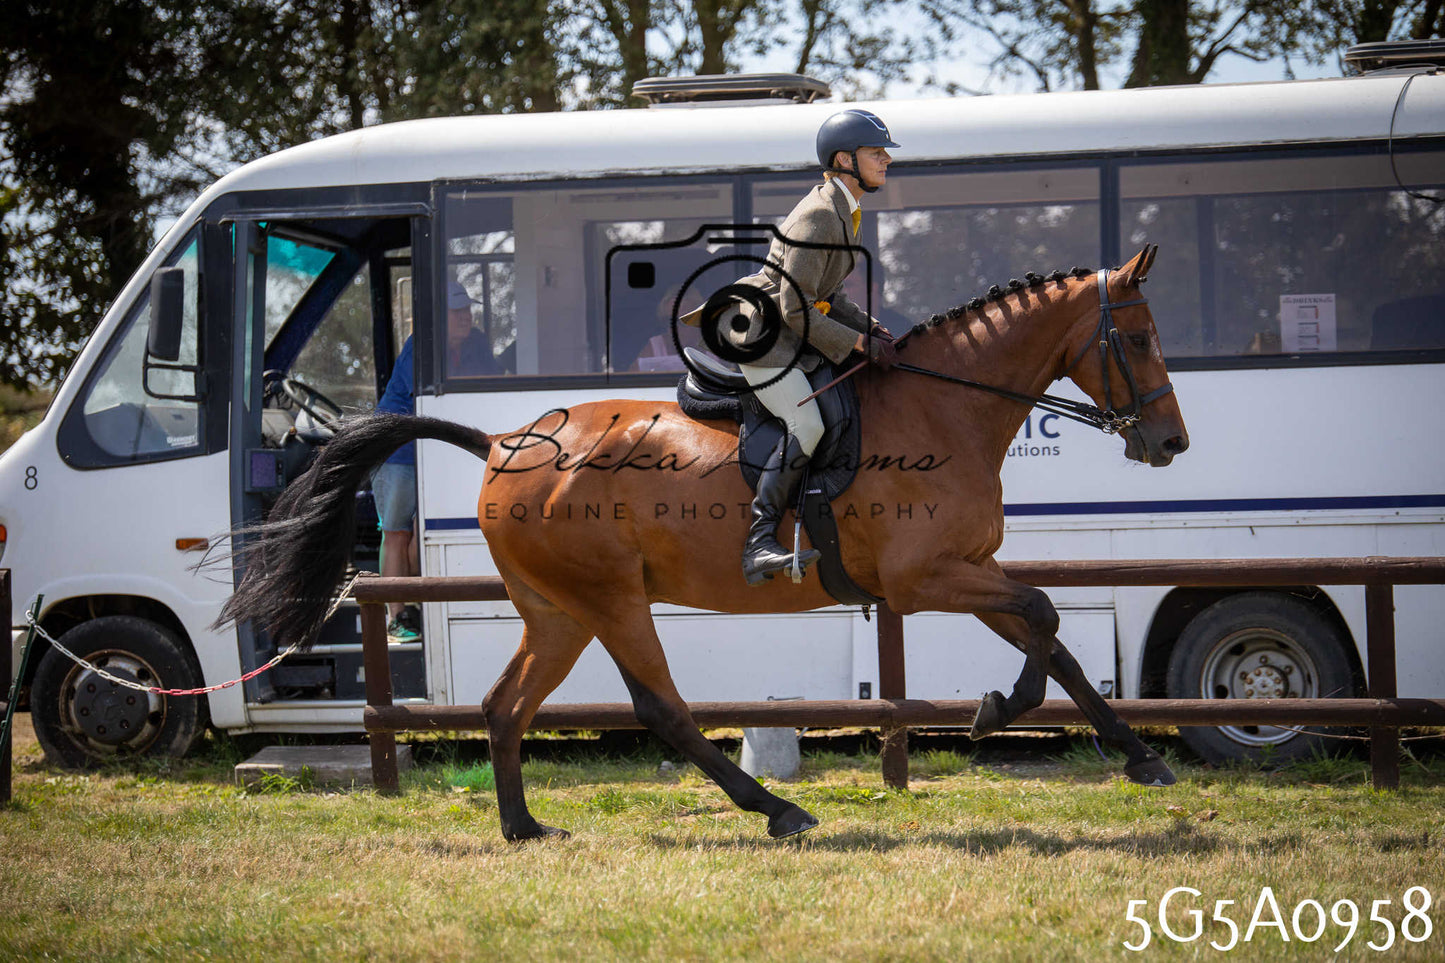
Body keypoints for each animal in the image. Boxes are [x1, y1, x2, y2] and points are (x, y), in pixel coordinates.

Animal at [219, 245, 1189, 841]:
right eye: (1140, 338)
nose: (1170, 443)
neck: (945, 404)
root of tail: (505, 442)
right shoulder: (926, 579)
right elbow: (1043, 615)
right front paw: (999, 707)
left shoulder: (968, 568)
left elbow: (1052, 638)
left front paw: (1133, 752)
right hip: (611, 599)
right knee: (661, 707)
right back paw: (775, 809)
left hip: (557, 611)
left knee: (504, 705)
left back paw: (523, 826)